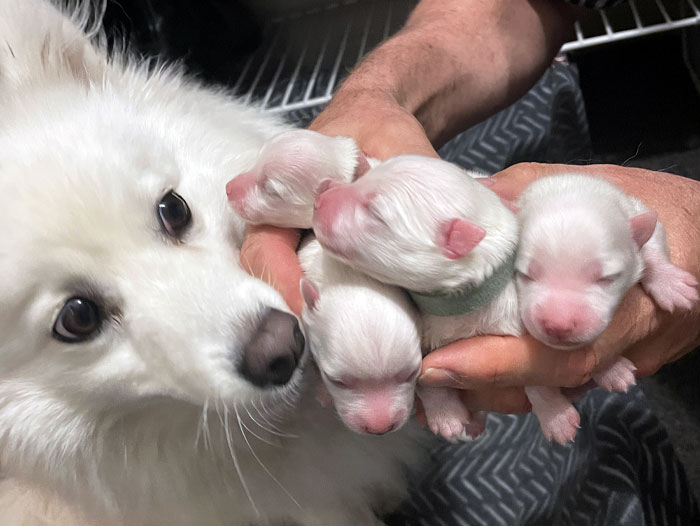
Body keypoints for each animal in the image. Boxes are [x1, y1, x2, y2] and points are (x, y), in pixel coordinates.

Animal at [516, 175, 700, 444]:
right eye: (524, 274)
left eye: (606, 278)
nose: (558, 324)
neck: (572, 187)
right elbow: (531, 378)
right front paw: (555, 415)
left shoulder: (636, 211)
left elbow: (652, 246)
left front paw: (671, 284)